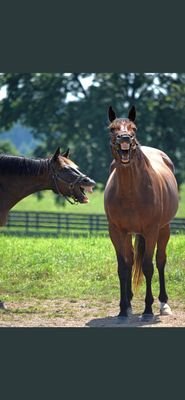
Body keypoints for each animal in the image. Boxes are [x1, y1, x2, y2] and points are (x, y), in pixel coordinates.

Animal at [104, 105, 178, 318]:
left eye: (134, 128)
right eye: (112, 128)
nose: (125, 139)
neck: (131, 192)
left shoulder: (151, 230)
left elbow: (148, 266)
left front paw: (148, 309)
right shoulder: (116, 231)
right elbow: (123, 267)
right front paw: (123, 309)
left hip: (164, 229)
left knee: (160, 261)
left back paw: (163, 304)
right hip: (129, 233)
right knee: (129, 261)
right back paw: (128, 301)